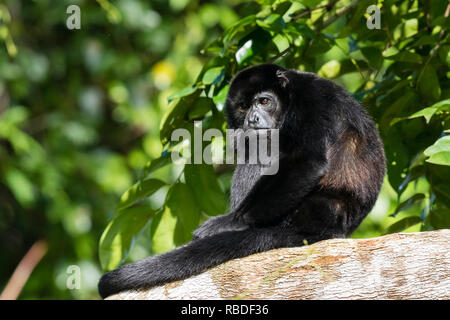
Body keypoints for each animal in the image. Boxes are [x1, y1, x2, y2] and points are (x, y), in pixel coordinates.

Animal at [96, 63, 384, 298]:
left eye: (264, 101)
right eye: (244, 107)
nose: (253, 119)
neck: (289, 97)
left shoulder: (311, 100)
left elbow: (307, 160)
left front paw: (228, 223)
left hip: (318, 209)